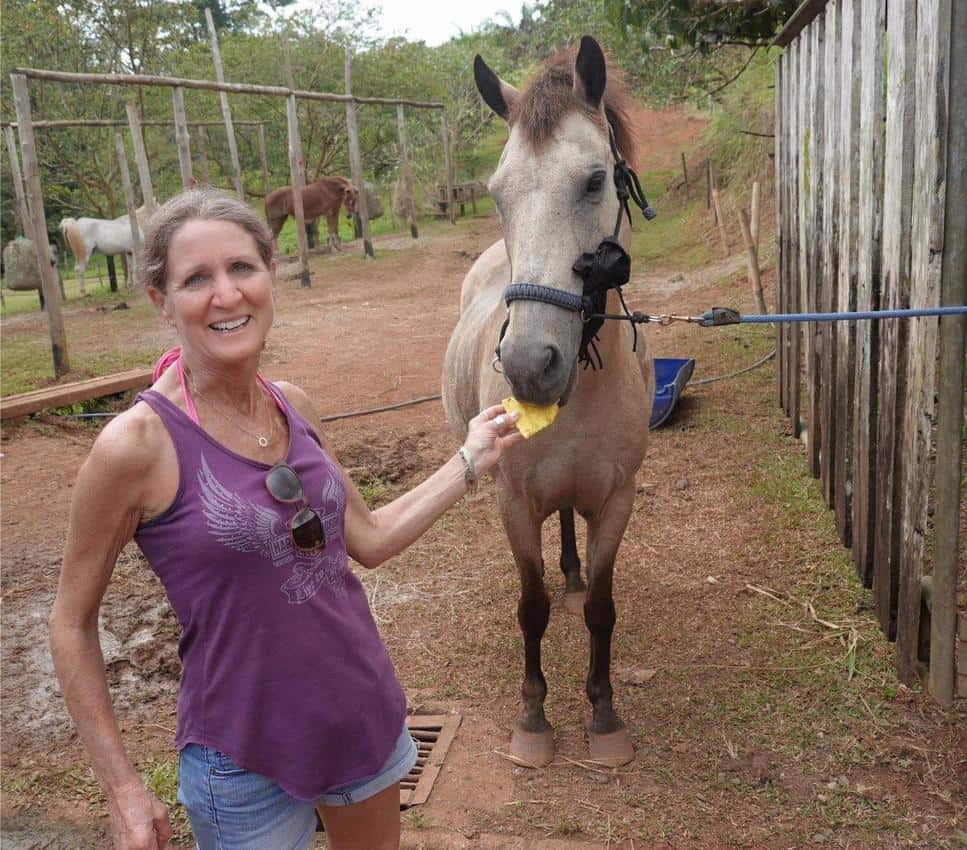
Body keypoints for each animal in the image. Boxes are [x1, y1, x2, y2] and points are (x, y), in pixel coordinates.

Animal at [442, 38, 656, 768]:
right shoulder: (514, 504)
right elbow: (530, 607)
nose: (530, 367)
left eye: (593, 181)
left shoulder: (616, 501)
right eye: (496, 194)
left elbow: (602, 608)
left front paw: (605, 715)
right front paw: (533, 718)